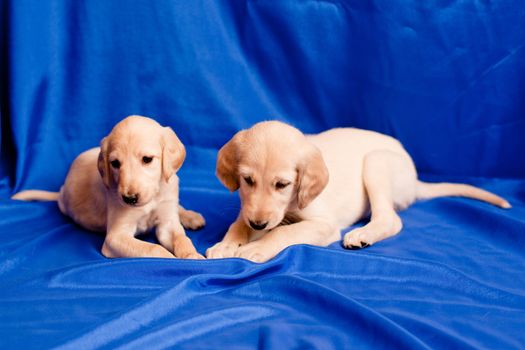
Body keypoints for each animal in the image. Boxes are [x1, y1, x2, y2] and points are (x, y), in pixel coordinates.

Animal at [12, 116, 205, 258]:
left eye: (147, 159)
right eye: (115, 163)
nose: (129, 199)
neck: (152, 198)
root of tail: (60, 190)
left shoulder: (167, 222)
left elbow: (182, 239)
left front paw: (192, 256)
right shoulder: (115, 237)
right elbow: (153, 249)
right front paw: (171, 259)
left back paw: (191, 216)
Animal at [207, 121, 510, 262]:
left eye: (282, 184)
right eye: (247, 180)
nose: (258, 224)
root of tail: (414, 178)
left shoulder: (324, 225)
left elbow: (283, 232)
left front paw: (255, 248)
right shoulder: (248, 209)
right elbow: (238, 224)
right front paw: (227, 244)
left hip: (376, 163)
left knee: (390, 219)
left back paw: (363, 234)